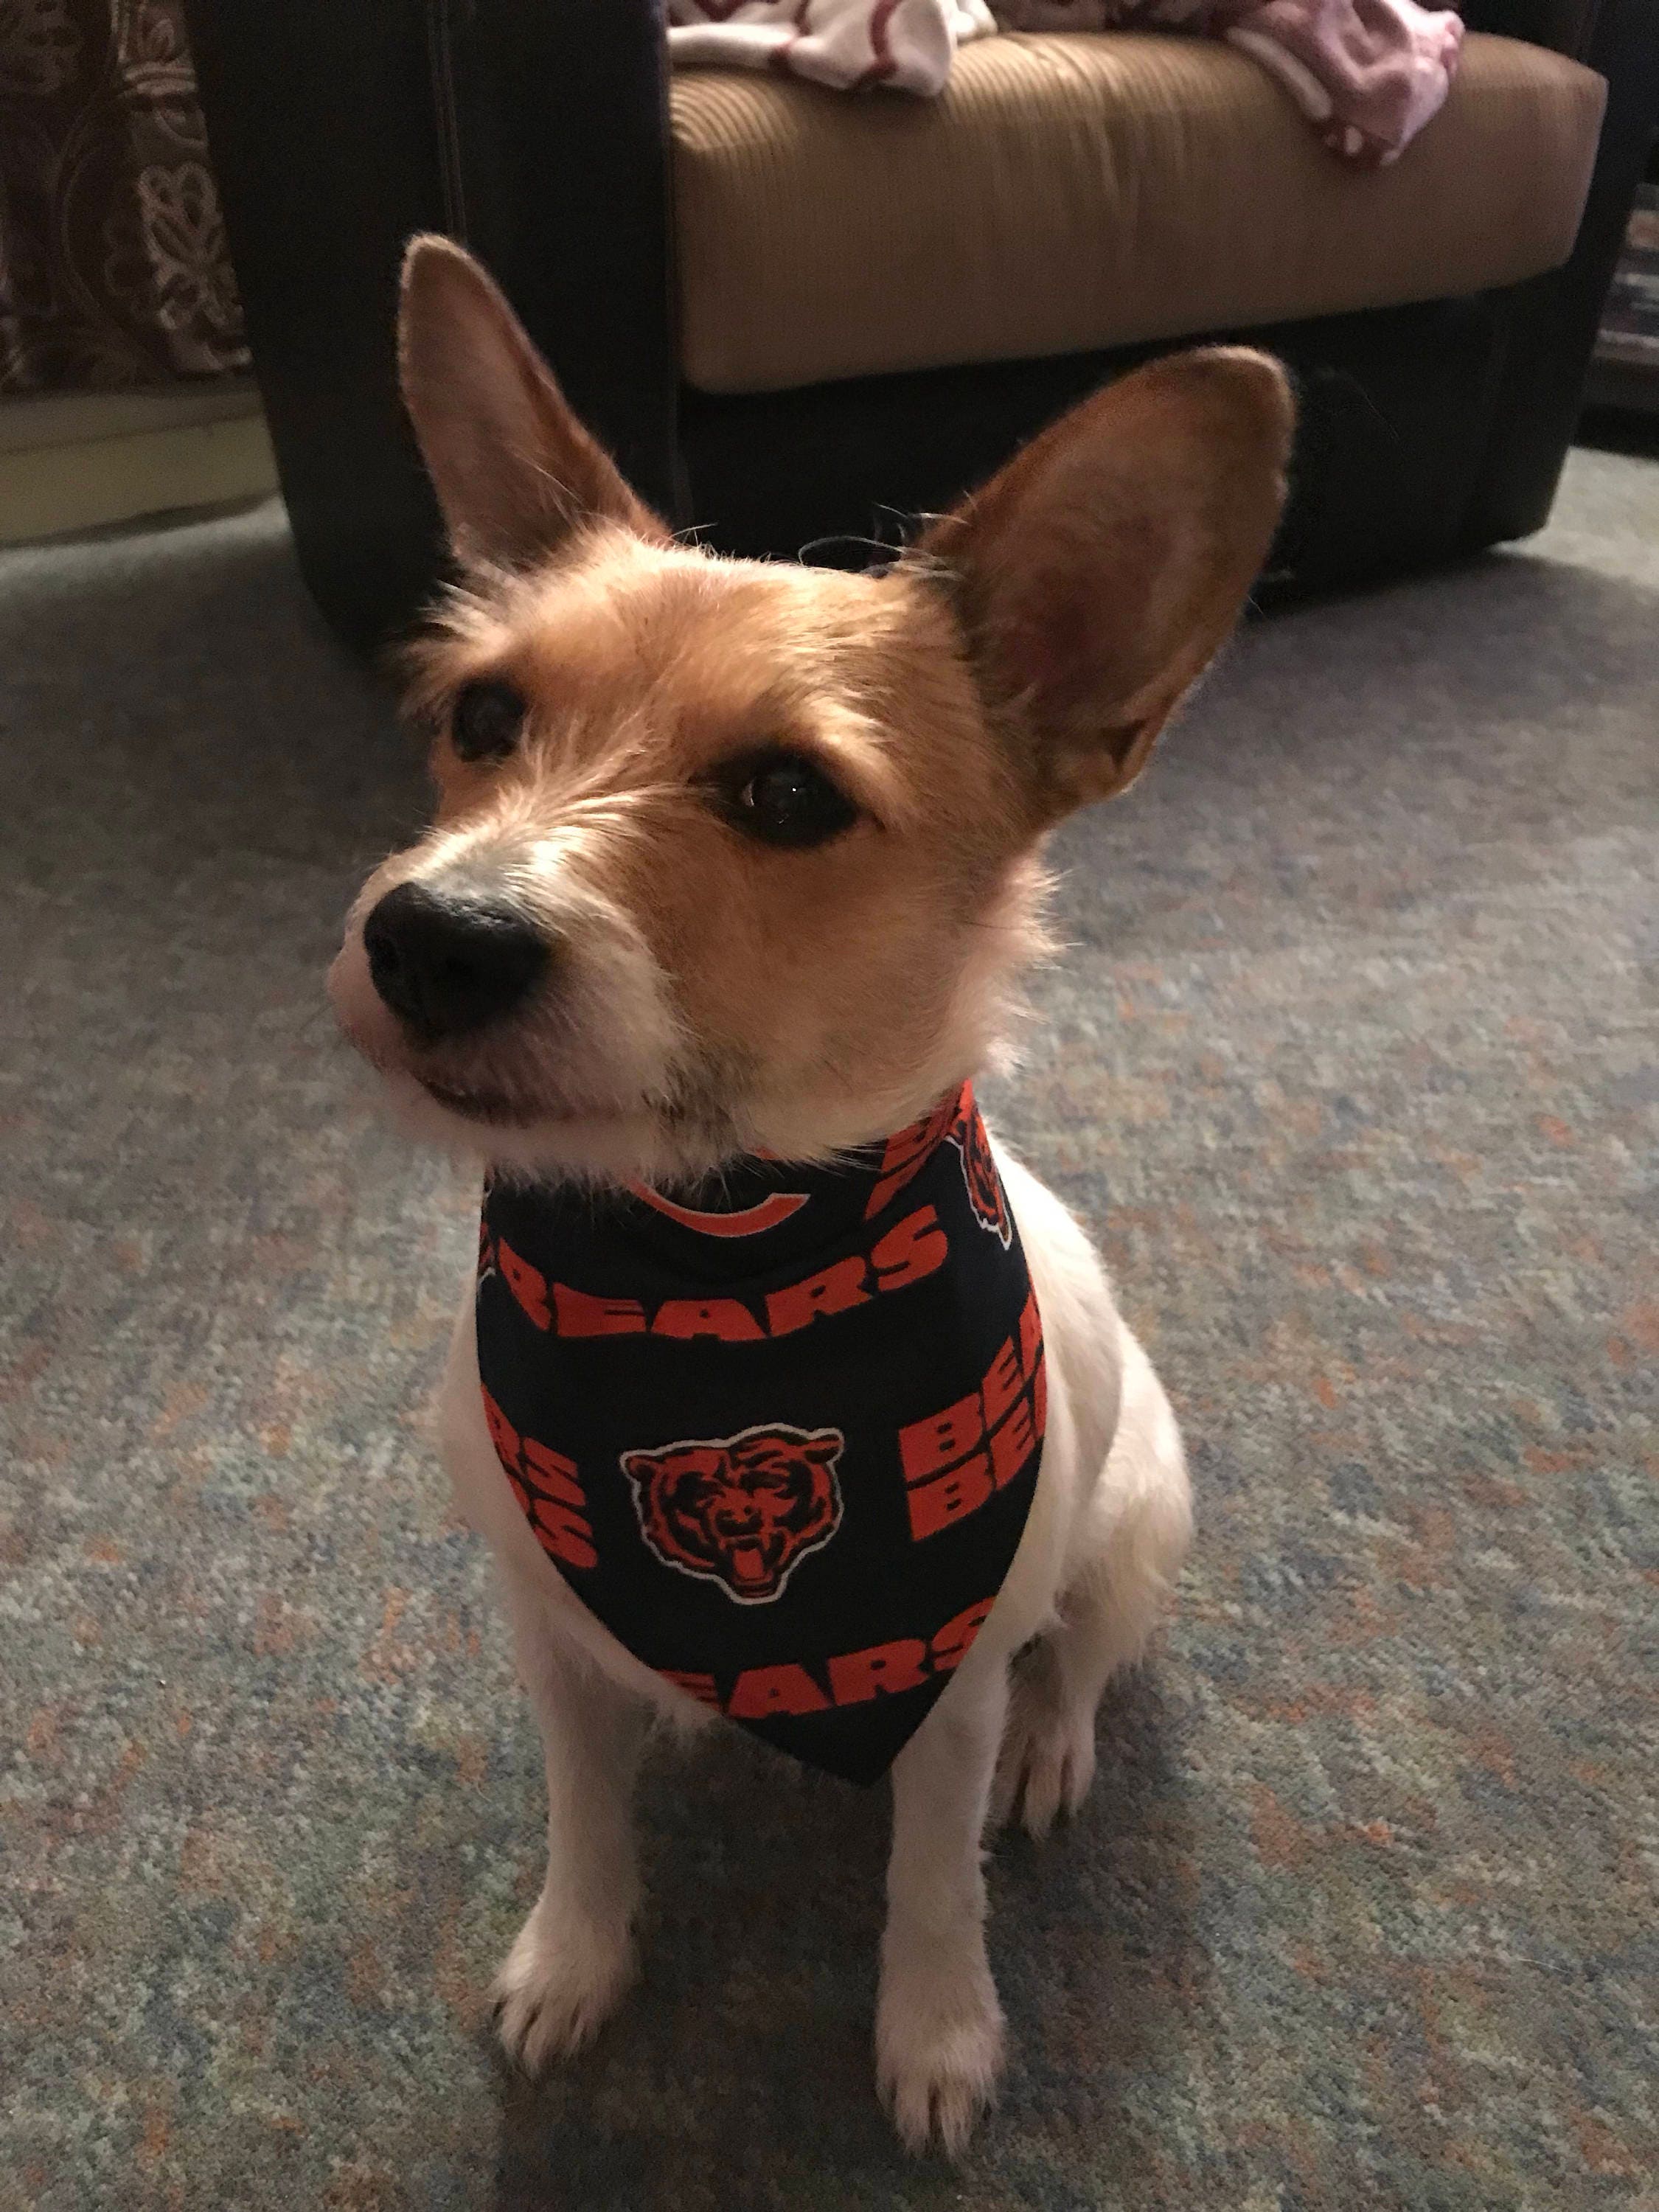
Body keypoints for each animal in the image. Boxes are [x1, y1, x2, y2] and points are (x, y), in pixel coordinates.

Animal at [327, 242, 1301, 2159]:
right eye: (483, 717)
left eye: (786, 793)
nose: (428, 939)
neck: (718, 1261)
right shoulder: (545, 1633)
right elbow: (583, 1813)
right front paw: (578, 1953)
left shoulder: (939, 1684)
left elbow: (931, 1876)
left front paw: (938, 2033)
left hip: (1137, 1516)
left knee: (1081, 1659)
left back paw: (1054, 1748)